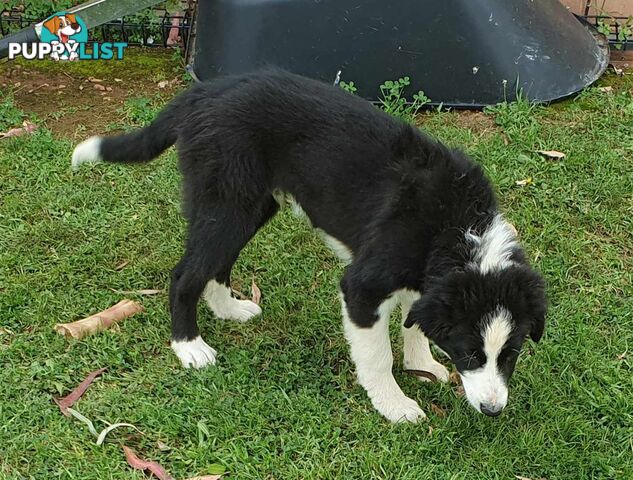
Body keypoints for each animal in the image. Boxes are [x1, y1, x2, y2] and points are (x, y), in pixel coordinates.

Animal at [74, 68, 544, 424]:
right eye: (469, 352)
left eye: (512, 353)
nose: (492, 410)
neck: (457, 224)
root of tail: (207, 90)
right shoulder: (362, 287)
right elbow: (378, 357)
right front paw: (395, 406)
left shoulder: (423, 277)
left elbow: (415, 323)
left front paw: (422, 366)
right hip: (227, 203)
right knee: (185, 274)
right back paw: (189, 347)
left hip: (248, 205)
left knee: (215, 263)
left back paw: (229, 310)